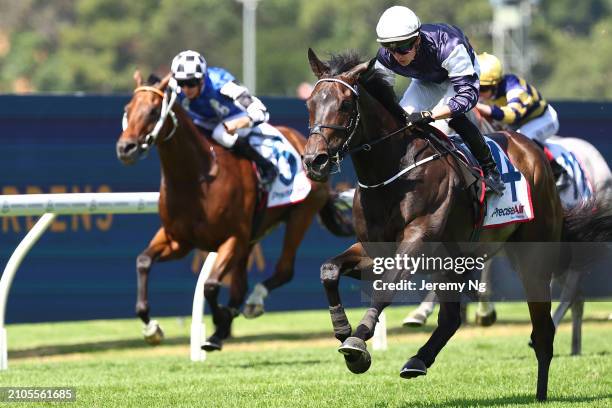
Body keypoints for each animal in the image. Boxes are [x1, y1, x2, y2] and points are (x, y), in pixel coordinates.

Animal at [116, 70, 352, 350]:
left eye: (153, 111)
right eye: (128, 109)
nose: (126, 148)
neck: (196, 178)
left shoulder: (232, 238)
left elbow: (210, 286)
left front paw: (220, 320)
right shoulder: (178, 240)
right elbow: (143, 262)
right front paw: (152, 328)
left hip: (300, 215)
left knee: (283, 270)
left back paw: (252, 303)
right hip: (254, 234)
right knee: (241, 286)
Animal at [302, 49, 612, 400]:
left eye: (344, 104)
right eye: (310, 103)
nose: (314, 161)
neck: (394, 171)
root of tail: (533, 152)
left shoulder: (417, 240)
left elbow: (387, 287)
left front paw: (358, 342)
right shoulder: (376, 250)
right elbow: (329, 269)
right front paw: (343, 330)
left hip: (533, 256)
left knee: (545, 327)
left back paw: (541, 393)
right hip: (452, 262)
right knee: (451, 319)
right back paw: (418, 360)